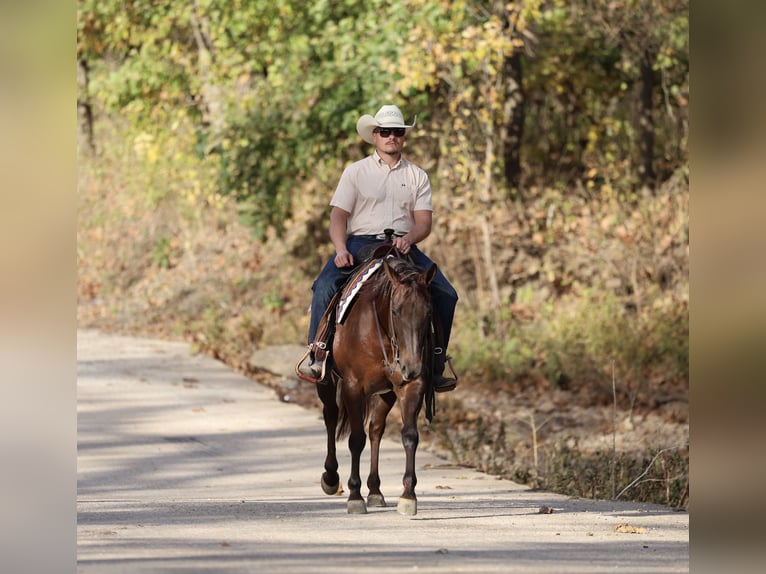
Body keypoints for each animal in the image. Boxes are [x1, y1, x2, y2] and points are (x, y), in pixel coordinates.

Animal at [316, 254, 437, 515]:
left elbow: (409, 436)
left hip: (385, 393)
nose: (411, 366)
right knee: (331, 416)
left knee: (375, 430)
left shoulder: (412, 385)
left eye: (429, 312)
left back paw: (374, 490)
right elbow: (355, 439)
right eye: (396, 311)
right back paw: (331, 478)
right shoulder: (352, 386)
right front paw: (354, 496)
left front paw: (408, 496)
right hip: (327, 383)